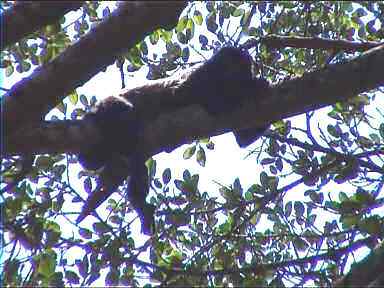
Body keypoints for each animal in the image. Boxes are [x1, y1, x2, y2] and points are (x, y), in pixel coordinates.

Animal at [77, 45, 270, 234]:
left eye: (242, 68)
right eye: (232, 66)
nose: (239, 74)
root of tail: (91, 111)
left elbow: (243, 140)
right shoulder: (200, 77)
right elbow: (207, 100)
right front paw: (253, 86)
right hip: (109, 107)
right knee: (128, 121)